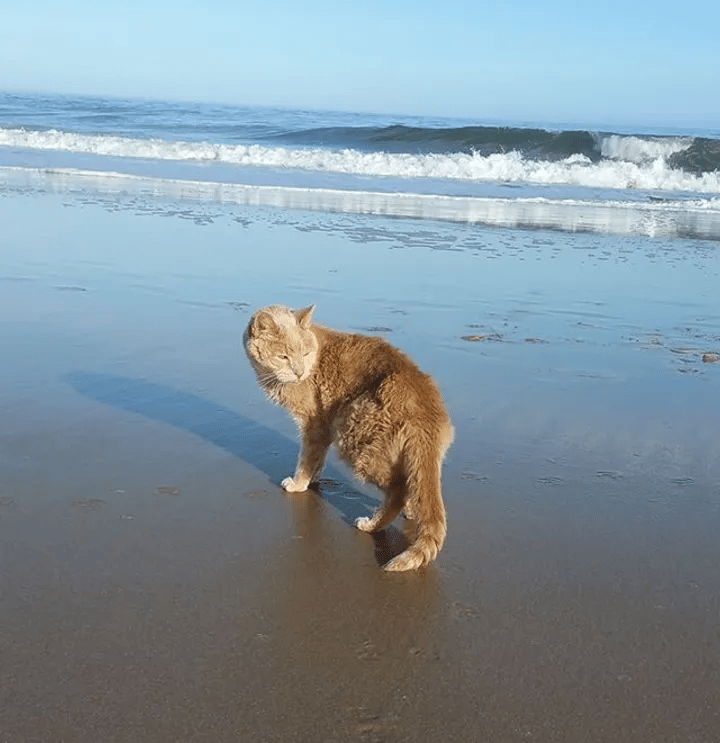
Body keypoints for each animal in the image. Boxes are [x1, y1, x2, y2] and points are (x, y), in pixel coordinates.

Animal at [245, 306, 452, 572]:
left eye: (305, 353)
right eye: (283, 357)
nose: (299, 372)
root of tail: (425, 409)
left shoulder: (315, 423)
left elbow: (307, 457)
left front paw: (299, 483)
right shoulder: (324, 426)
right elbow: (317, 459)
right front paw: (314, 477)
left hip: (352, 434)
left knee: (397, 490)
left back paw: (372, 524)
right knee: (411, 483)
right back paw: (412, 510)